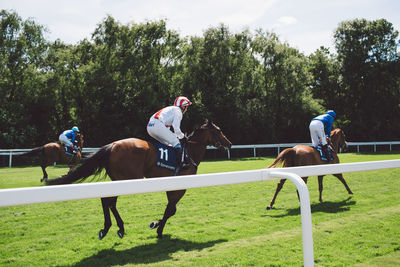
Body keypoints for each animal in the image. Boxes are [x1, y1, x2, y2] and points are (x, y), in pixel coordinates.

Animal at [45, 120, 231, 241]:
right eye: (218, 130)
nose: (229, 144)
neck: (189, 152)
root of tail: (112, 145)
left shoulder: (172, 186)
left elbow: (170, 210)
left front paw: (156, 225)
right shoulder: (179, 187)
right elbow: (171, 210)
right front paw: (157, 228)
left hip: (120, 179)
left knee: (109, 202)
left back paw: (117, 228)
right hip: (127, 178)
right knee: (107, 200)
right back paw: (108, 228)